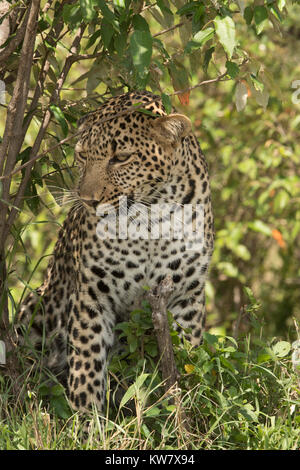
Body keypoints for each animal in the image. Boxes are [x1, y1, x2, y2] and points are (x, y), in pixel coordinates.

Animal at [18, 90, 214, 414]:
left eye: (121, 158)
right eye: (83, 155)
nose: (87, 200)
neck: (150, 220)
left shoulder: (186, 296)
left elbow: (187, 360)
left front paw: (185, 410)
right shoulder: (92, 296)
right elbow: (87, 367)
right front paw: (87, 420)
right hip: (36, 306)